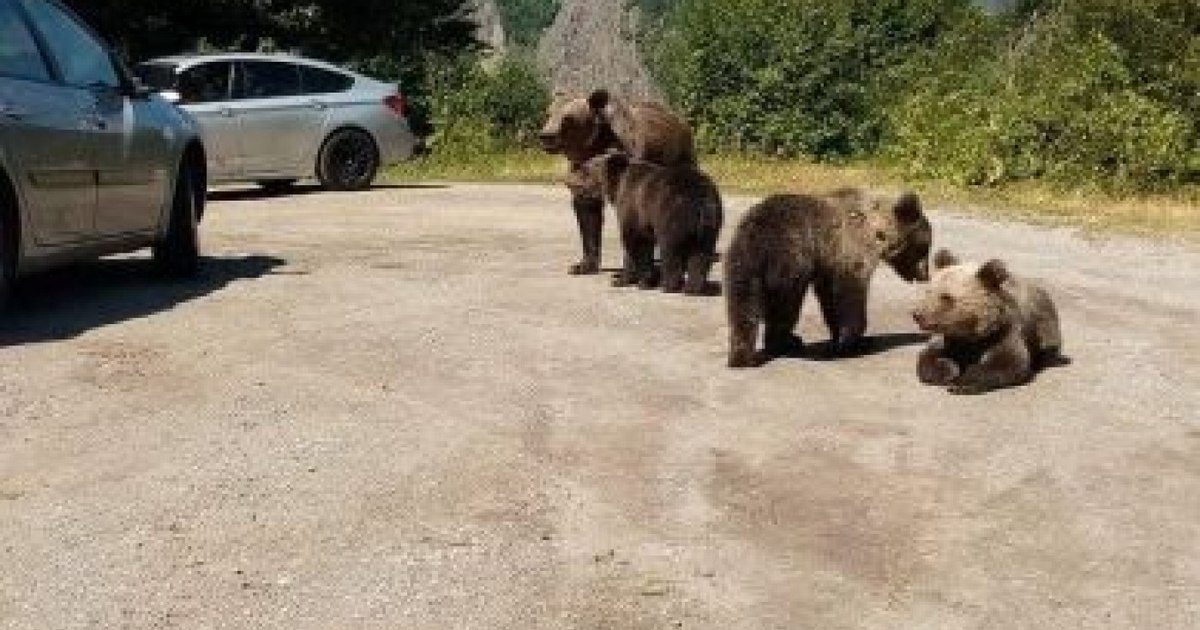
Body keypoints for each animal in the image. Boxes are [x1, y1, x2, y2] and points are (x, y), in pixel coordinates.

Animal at [539, 90, 697, 276]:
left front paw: (628, 269)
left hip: (680, 158)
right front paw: (582, 265)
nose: (546, 136)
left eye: (567, 118)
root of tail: (679, 119)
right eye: (548, 114)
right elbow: (588, 216)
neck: (595, 147)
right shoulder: (582, 175)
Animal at [573, 150, 723, 295]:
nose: (571, 182)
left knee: (670, 249)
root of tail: (701, 198)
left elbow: (634, 242)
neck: (617, 187)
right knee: (701, 254)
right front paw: (645, 279)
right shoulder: (645, 221)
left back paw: (668, 285)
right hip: (709, 225)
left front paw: (625, 280)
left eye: (586, 169)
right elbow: (646, 244)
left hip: (672, 214)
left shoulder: (632, 207)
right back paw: (692, 288)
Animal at [724, 188, 933, 368]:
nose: (925, 275)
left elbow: (830, 299)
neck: (877, 233)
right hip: (789, 260)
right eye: (923, 248)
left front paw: (841, 337)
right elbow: (851, 297)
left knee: (742, 309)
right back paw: (784, 342)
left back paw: (743, 356)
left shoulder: (828, 263)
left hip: (740, 264)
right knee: (785, 306)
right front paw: (854, 342)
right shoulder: (851, 251)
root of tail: (756, 240)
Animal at [912, 249, 1063, 394]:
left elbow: (1006, 362)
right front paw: (950, 371)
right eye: (929, 291)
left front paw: (961, 383)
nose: (918, 315)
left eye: (947, 297)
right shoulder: (950, 337)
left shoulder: (1004, 331)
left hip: (1046, 324)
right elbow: (929, 357)